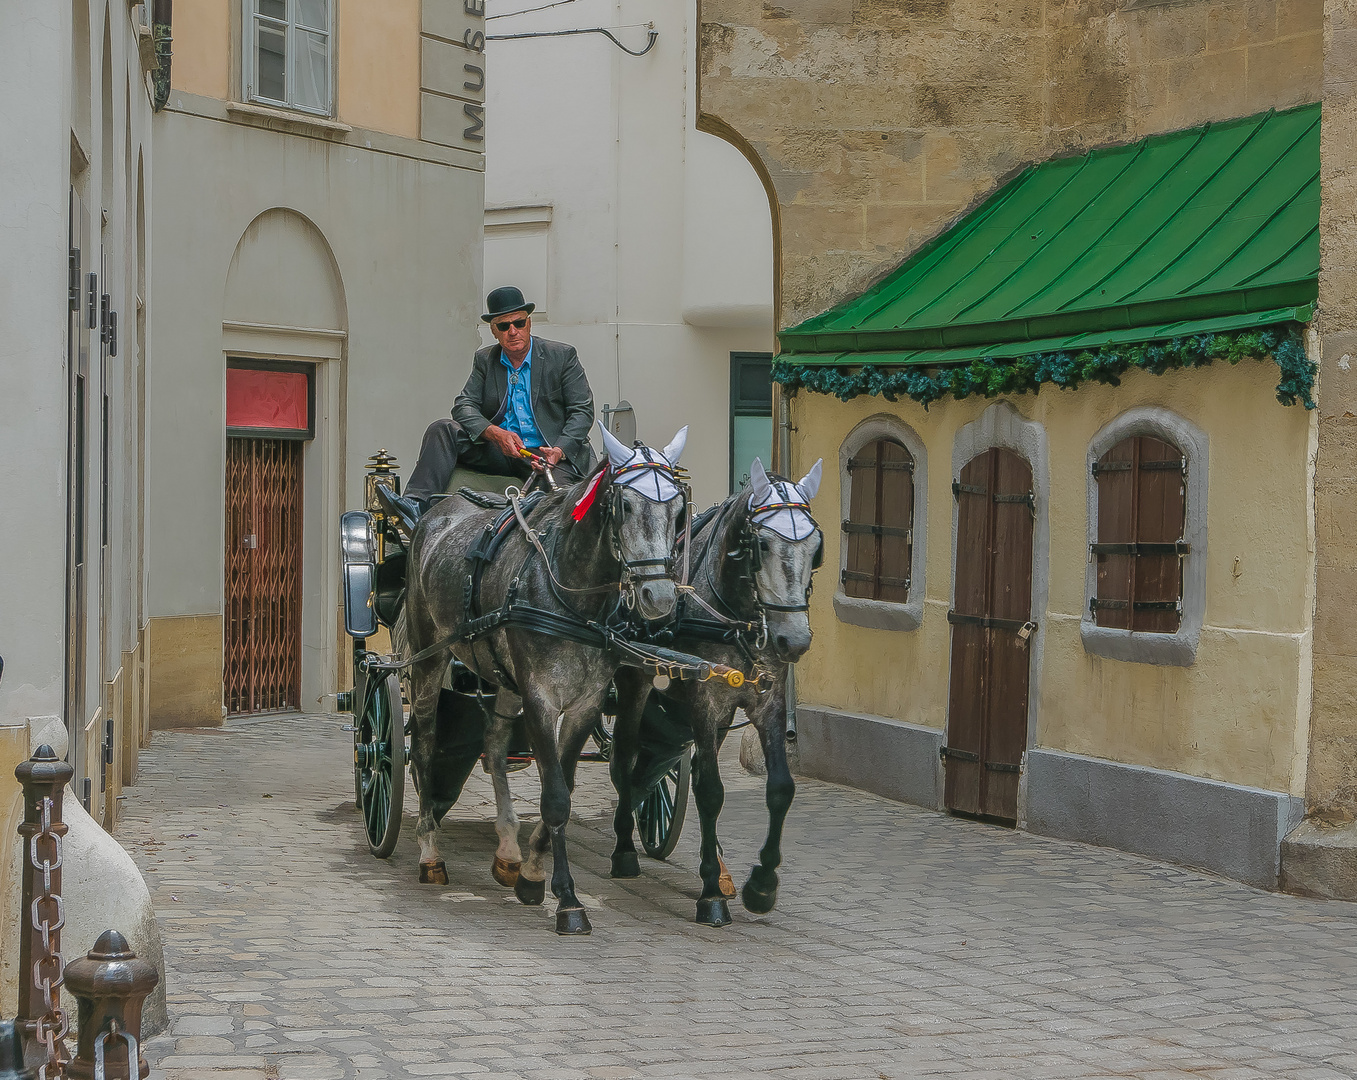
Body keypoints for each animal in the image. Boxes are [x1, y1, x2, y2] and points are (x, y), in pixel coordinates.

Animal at [396, 426, 683, 933]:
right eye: (625, 505)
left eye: (676, 510)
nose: (659, 596)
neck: (572, 596)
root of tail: (436, 512)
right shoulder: (541, 697)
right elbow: (554, 800)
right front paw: (566, 899)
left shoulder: (585, 702)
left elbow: (563, 784)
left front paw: (530, 871)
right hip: (429, 656)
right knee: (425, 746)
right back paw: (430, 851)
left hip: (504, 679)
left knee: (493, 744)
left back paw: (507, 847)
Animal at [607, 458, 819, 922]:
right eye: (762, 545)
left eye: (815, 547)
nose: (794, 640)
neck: (735, 617)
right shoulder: (704, 702)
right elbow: (710, 790)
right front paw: (709, 893)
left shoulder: (767, 702)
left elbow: (781, 788)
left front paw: (762, 884)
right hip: (635, 682)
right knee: (625, 758)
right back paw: (625, 846)